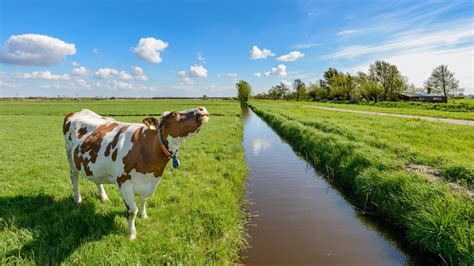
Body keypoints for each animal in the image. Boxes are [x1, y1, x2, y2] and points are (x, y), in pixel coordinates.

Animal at [63, 107, 209, 240]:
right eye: (174, 114)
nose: (201, 109)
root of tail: (77, 111)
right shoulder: (124, 183)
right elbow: (132, 211)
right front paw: (132, 233)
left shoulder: (150, 182)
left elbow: (144, 200)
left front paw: (144, 216)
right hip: (70, 156)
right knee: (74, 177)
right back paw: (77, 199)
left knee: (97, 180)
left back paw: (104, 197)